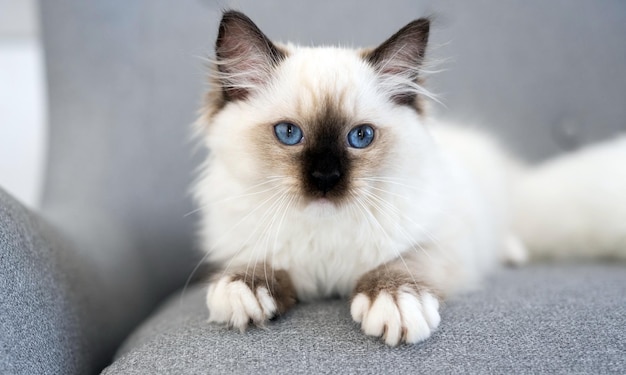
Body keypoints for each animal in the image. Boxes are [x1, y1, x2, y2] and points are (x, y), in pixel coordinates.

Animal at [194, 10, 624, 348]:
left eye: (360, 137)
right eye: (288, 134)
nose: (325, 177)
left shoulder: (439, 241)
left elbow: (401, 265)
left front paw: (395, 305)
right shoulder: (252, 244)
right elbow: (256, 264)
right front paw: (241, 290)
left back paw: (512, 252)